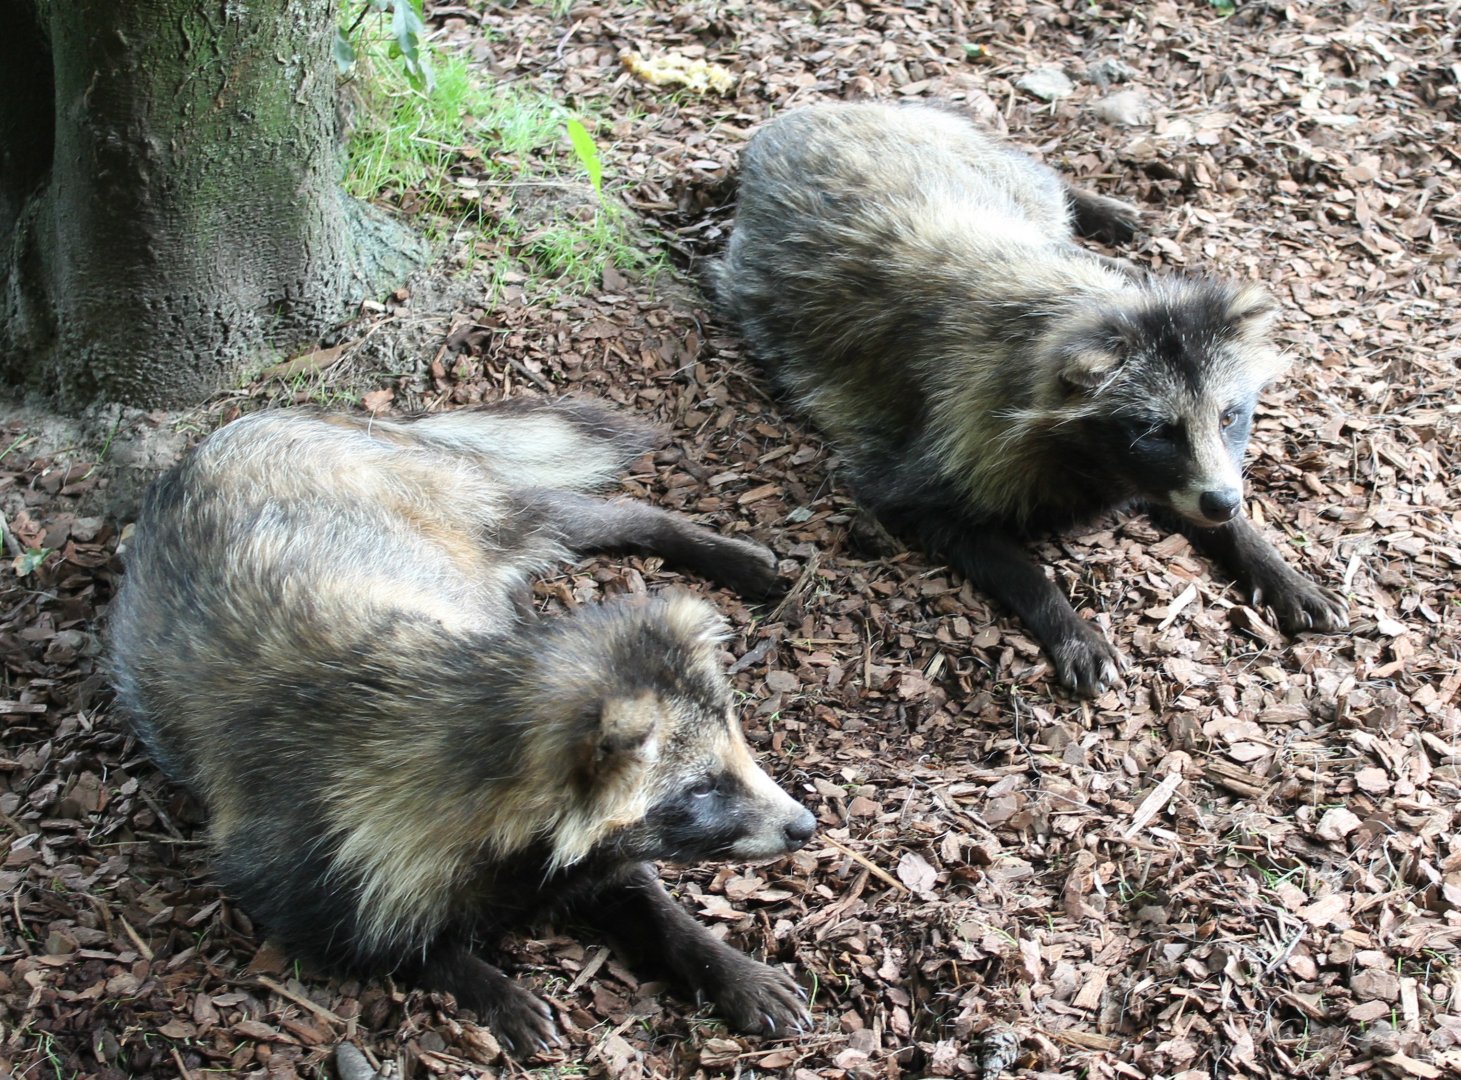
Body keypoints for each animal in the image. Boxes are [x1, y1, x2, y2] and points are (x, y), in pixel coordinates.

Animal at [109, 401, 816, 1055]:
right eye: (701, 789)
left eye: (739, 752)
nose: (804, 826)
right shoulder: (298, 839)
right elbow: (353, 933)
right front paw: (480, 981)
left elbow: (634, 887)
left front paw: (719, 960)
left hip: (442, 496)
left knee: (567, 515)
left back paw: (688, 538)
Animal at [711, 101, 1348, 696]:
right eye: (1157, 431)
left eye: (1230, 417)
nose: (1223, 503)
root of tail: (804, 114)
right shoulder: (946, 440)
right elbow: (953, 525)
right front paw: (1065, 620)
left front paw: (1265, 556)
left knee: (1034, 183)